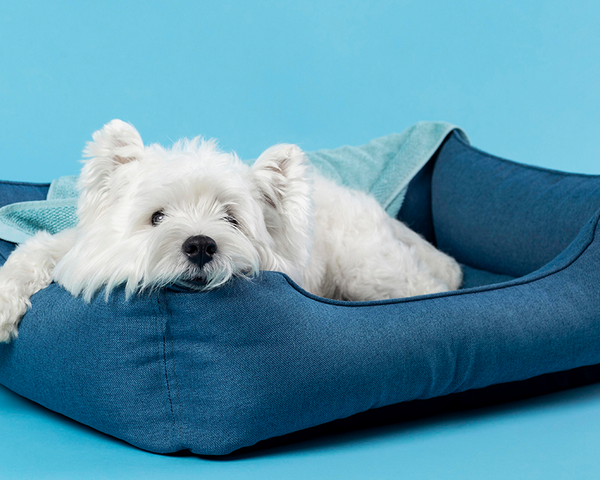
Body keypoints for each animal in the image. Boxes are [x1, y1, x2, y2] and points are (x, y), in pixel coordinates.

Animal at [0, 122, 464, 344]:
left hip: (368, 268)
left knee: (425, 286)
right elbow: (32, 253)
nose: (200, 245)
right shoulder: (69, 246)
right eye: (156, 217)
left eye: (232, 219)